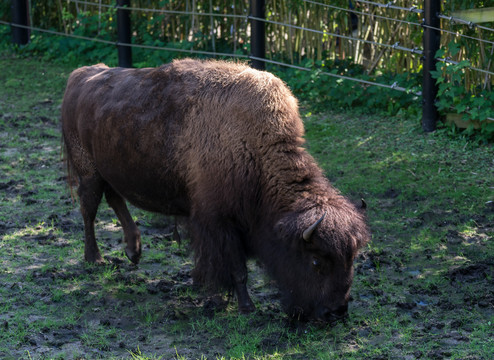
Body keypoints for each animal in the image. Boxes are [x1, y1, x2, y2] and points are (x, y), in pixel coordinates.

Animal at [61, 59, 368, 324]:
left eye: (352, 259)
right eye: (316, 261)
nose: (336, 312)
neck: (254, 149)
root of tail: (80, 75)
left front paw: (200, 284)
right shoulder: (220, 222)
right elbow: (237, 269)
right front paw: (244, 306)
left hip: (108, 173)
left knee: (115, 200)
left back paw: (133, 252)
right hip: (89, 173)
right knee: (89, 211)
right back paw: (95, 259)